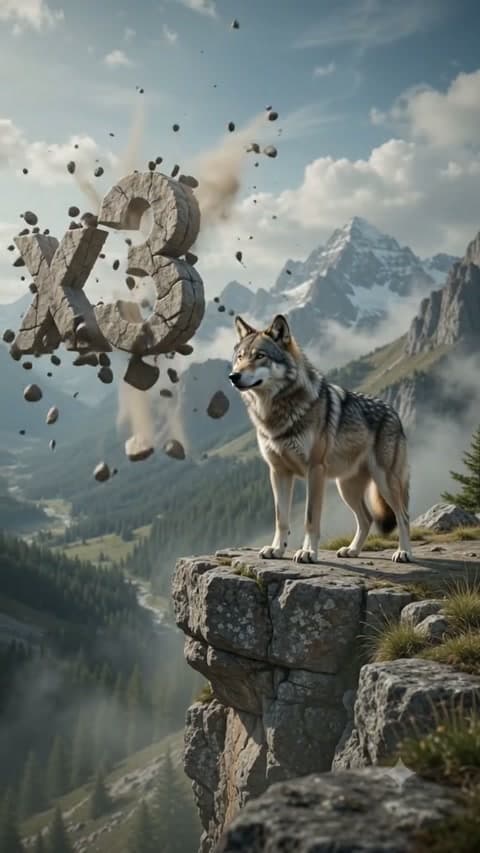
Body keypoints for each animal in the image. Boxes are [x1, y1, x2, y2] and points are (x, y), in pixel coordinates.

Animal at [229, 314, 412, 564]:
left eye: (260, 356)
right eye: (240, 357)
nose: (233, 376)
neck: (276, 413)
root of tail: (394, 412)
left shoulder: (314, 470)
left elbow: (310, 518)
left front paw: (308, 552)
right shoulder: (278, 472)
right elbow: (280, 518)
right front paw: (276, 549)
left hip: (385, 481)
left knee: (403, 515)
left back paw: (404, 552)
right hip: (346, 487)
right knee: (366, 519)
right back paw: (352, 550)